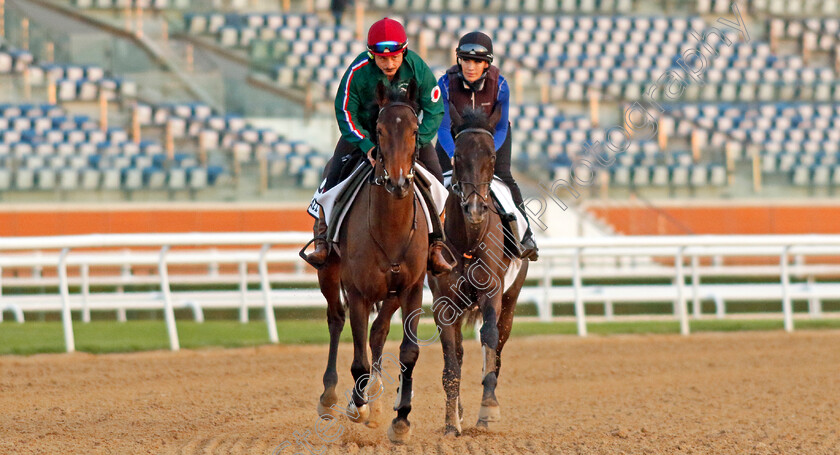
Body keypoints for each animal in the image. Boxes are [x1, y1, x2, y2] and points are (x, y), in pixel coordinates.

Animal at [318, 80, 430, 444]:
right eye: (379, 130)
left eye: (414, 130)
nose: (397, 181)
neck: (390, 227)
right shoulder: (358, 292)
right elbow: (358, 359)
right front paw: (358, 407)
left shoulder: (411, 289)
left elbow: (407, 351)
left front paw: (401, 419)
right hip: (329, 275)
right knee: (336, 320)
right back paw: (330, 397)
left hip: (391, 293)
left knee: (378, 333)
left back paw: (376, 399)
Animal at [430, 106, 528, 438]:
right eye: (457, 155)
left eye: (492, 156)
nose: (474, 209)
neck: (468, 239)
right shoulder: (443, 302)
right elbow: (450, 359)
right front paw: (451, 422)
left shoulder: (492, 292)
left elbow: (489, 337)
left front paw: (488, 410)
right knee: (460, 350)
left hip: (511, 299)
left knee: (498, 343)